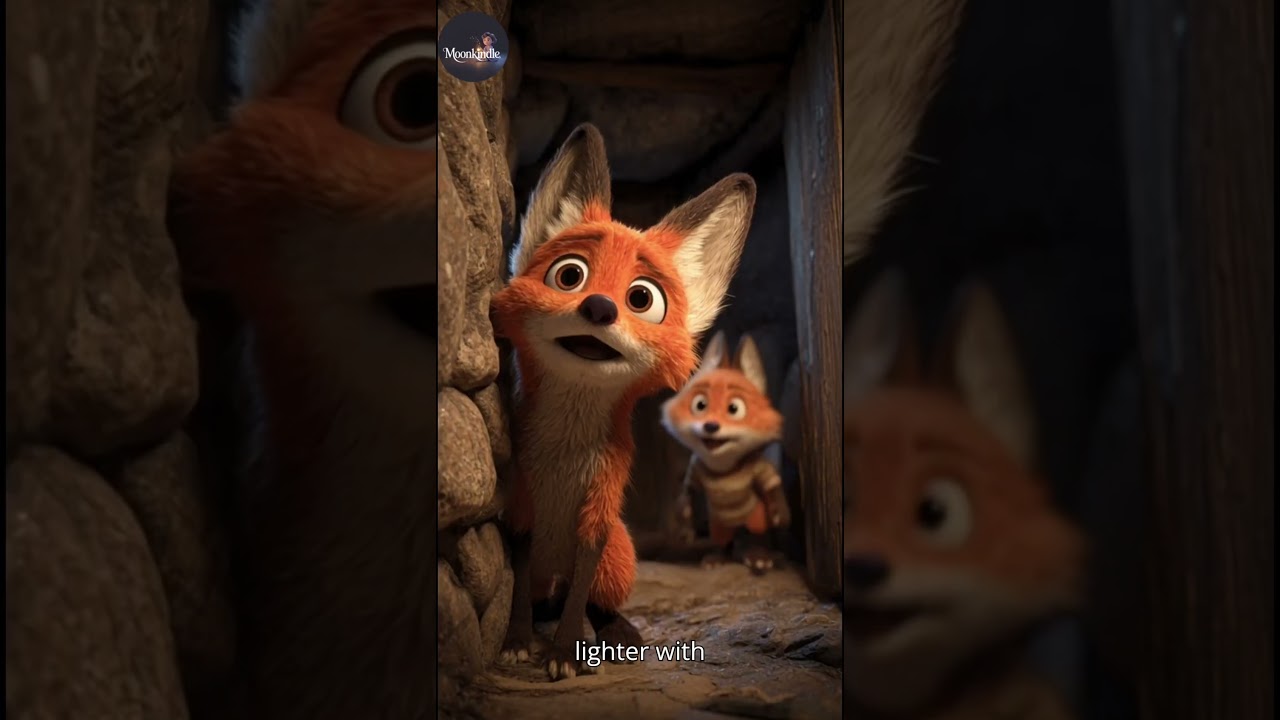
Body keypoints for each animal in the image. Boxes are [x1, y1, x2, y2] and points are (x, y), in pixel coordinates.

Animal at [490, 123, 755, 681]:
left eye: (641, 298)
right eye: (569, 275)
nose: (598, 307)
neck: (564, 457)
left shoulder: (599, 512)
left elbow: (580, 595)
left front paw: (566, 653)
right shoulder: (522, 504)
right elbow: (520, 580)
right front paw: (518, 643)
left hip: (620, 551)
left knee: (592, 600)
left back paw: (615, 632)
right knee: (546, 597)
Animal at [661, 330, 790, 574]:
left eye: (734, 409)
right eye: (700, 405)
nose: (711, 426)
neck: (723, 467)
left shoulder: (759, 468)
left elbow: (771, 485)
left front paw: (781, 513)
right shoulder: (695, 469)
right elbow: (687, 495)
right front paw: (685, 524)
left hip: (756, 518)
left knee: (755, 536)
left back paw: (757, 556)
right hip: (718, 525)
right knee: (723, 540)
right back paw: (717, 557)